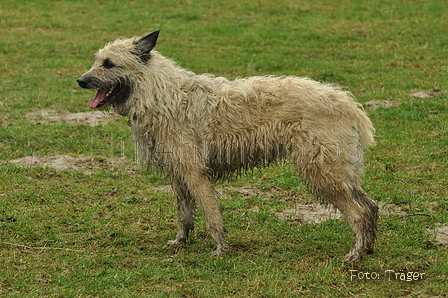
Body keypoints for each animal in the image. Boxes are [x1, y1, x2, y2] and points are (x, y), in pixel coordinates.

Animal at [78, 31, 378, 262]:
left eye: (109, 63)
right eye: (96, 61)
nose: (80, 80)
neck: (159, 92)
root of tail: (348, 104)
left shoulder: (196, 173)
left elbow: (212, 215)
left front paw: (220, 249)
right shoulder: (179, 173)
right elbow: (184, 214)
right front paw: (180, 242)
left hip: (322, 170)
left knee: (359, 212)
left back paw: (355, 254)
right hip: (337, 170)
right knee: (371, 205)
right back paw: (368, 249)